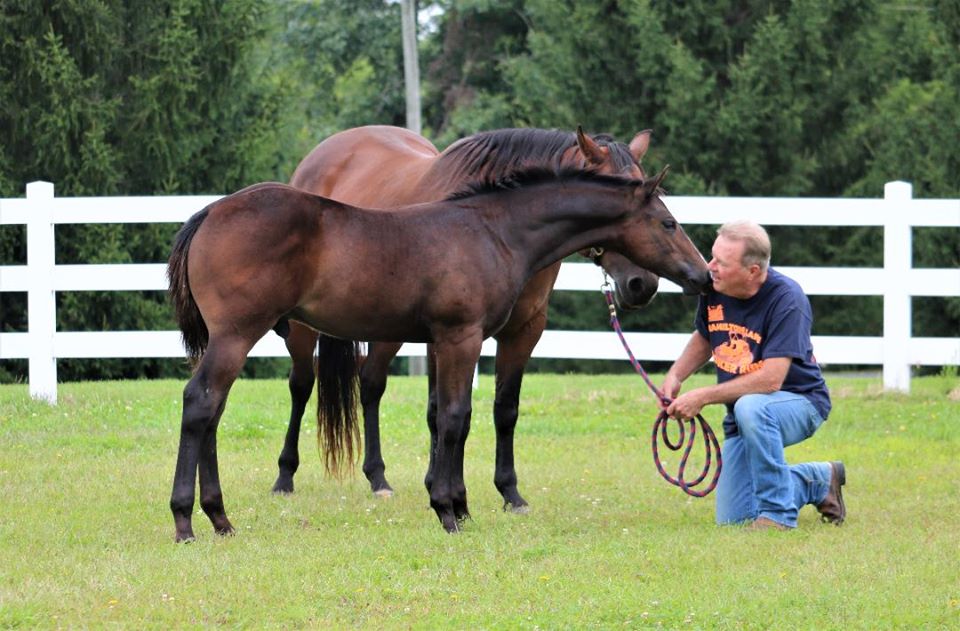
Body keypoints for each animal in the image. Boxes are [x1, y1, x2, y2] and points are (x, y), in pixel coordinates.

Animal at [167, 165, 704, 540]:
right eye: (668, 223)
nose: (701, 275)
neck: (494, 233)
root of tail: (210, 212)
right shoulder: (460, 336)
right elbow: (452, 417)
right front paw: (447, 510)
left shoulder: (455, 341)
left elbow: (455, 419)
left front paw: (459, 506)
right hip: (239, 334)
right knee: (200, 403)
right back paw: (186, 521)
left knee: (212, 410)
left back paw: (219, 519)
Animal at [276, 124, 668, 512]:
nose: (642, 284)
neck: (503, 228)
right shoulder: (447, 336)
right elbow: (442, 411)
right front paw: (442, 487)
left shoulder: (523, 331)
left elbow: (503, 409)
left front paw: (508, 492)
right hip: (303, 327)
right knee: (303, 385)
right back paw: (286, 475)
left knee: (371, 384)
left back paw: (378, 477)